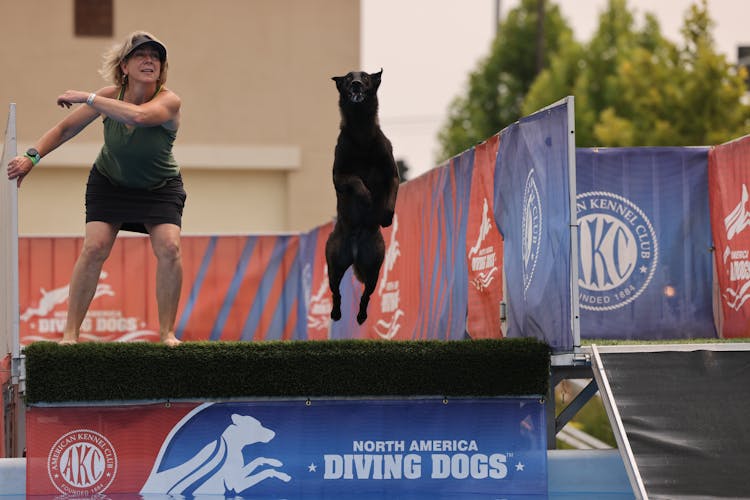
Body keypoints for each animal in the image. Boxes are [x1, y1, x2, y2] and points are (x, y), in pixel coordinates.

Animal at [326, 69, 402, 324]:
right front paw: (366, 197)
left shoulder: (392, 174)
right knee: (336, 292)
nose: (357, 84)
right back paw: (336, 313)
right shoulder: (339, 176)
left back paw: (361, 316)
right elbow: (355, 181)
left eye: (366, 77)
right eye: (349, 78)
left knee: (366, 295)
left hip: (374, 268)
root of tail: (355, 251)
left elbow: (391, 194)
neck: (361, 132)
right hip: (335, 264)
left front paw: (386, 216)